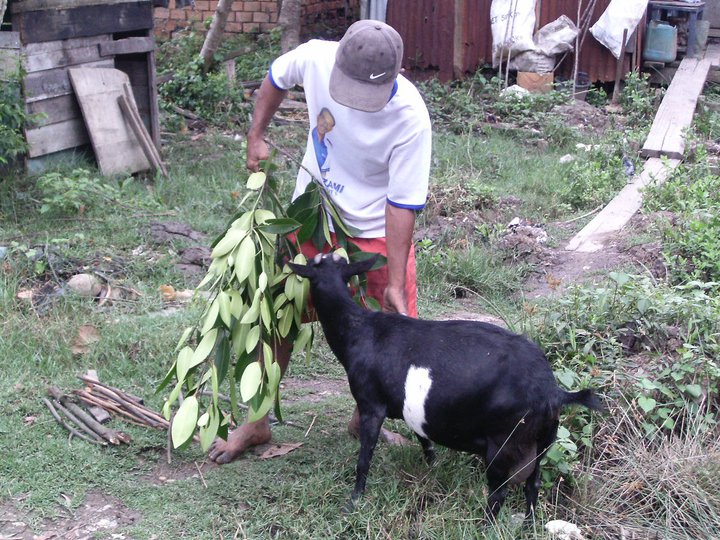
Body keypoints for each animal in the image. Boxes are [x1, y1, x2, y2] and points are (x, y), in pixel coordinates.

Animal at [286, 252, 600, 520]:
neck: (359, 329)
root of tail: (552, 391)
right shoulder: (411, 409)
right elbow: (423, 437)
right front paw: (432, 465)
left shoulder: (370, 404)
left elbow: (365, 456)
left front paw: (354, 500)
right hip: (544, 440)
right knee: (531, 486)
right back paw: (528, 526)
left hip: (504, 442)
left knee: (498, 494)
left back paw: (485, 526)